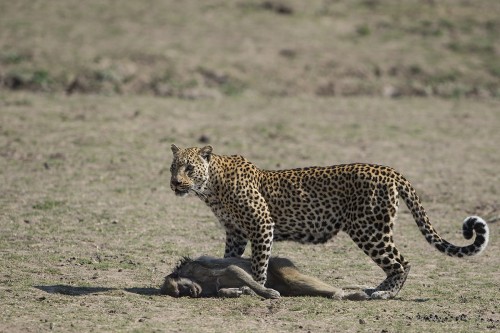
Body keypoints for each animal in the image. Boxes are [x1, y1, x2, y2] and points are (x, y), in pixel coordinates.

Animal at [170, 144, 490, 300]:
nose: (175, 182)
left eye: (189, 168)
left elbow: (259, 265)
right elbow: (230, 258)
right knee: (396, 263)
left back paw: (385, 294)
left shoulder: (262, 226)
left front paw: (254, 289)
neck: (211, 188)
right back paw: (374, 289)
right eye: (173, 167)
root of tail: (390, 170)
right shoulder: (235, 233)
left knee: (402, 262)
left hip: (368, 229)